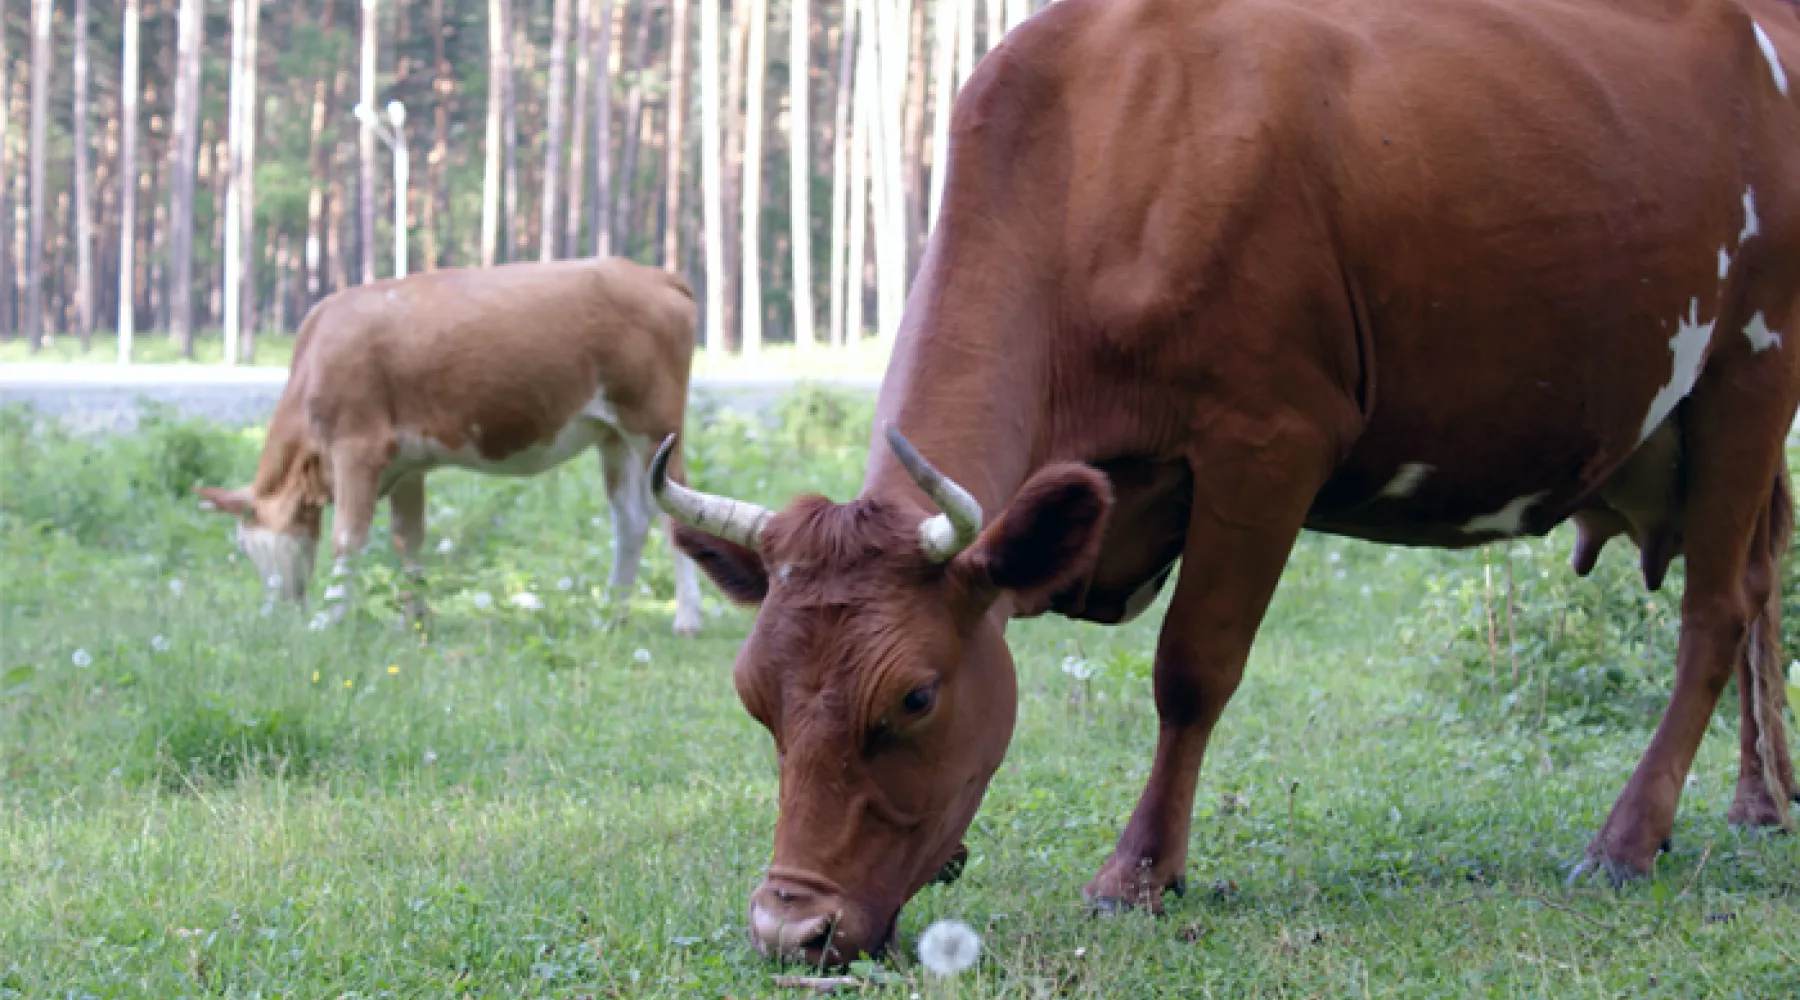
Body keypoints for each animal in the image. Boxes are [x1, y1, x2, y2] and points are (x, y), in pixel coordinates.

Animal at [197, 257, 702, 633]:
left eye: (245, 547)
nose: (274, 613)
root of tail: (652, 274)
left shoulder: (358, 446)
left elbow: (348, 536)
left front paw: (328, 617)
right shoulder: (406, 463)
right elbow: (408, 538)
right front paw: (416, 617)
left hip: (654, 423)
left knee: (675, 512)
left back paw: (686, 618)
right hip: (611, 433)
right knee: (631, 518)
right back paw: (612, 614)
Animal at [651, 0, 1800, 964]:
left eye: (916, 697)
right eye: (754, 696)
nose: (789, 928)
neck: (1099, 152)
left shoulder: (1269, 438)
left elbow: (1192, 669)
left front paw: (1139, 873)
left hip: (1752, 364)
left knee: (1712, 612)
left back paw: (1627, 839)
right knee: (1757, 584)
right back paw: (1762, 799)